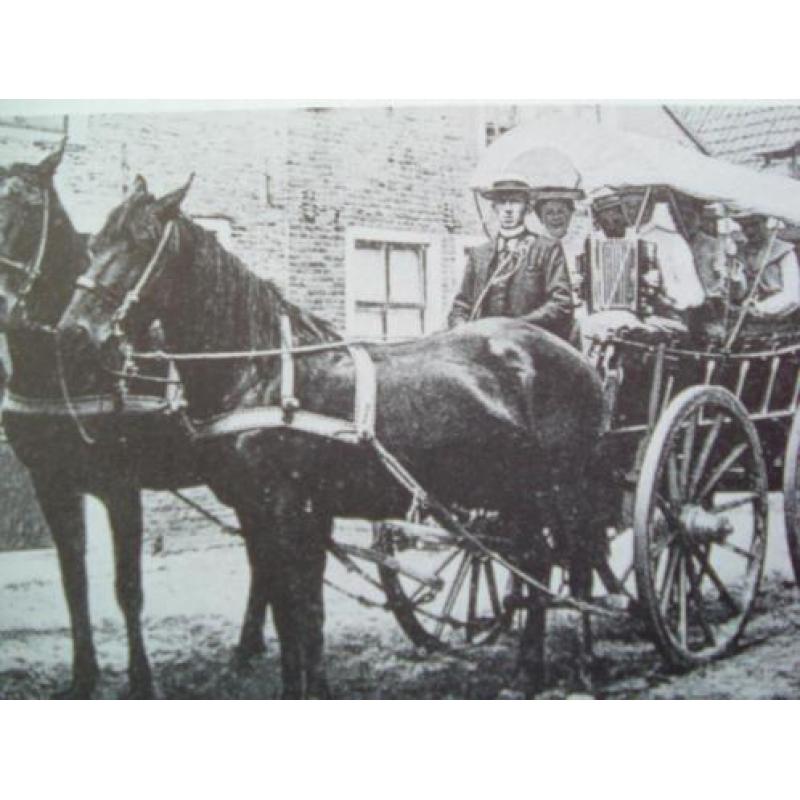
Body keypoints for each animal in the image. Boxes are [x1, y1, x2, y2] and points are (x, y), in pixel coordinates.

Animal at [0, 153, 276, 696]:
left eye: (26, 204)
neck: (63, 366)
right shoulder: (52, 484)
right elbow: (74, 581)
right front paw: (83, 677)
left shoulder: (120, 487)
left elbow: (127, 587)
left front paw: (142, 681)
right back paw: (249, 644)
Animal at [57, 177, 608, 700]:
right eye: (94, 243)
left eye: (140, 241)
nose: (72, 334)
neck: (263, 372)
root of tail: (575, 358)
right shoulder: (268, 514)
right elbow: (297, 614)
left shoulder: (289, 511)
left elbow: (298, 613)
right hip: (514, 496)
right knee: (531, 563)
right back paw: (527, 669)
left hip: (558, 491)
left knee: (565, 563)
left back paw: (569, 665)